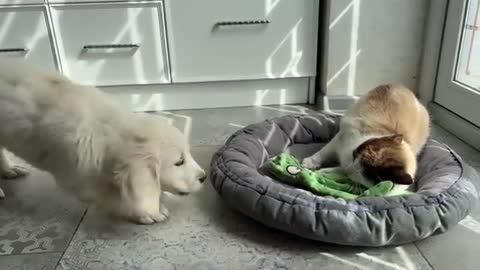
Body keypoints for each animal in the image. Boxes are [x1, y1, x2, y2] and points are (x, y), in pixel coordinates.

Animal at [302, 84, 430, 192]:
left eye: (365, 173)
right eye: (355, 155)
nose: (348, 169)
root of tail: (403, 87)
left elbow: (339, 170)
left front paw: (324, 172)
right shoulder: (340, 139)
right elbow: (323, 152)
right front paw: (309, 163)